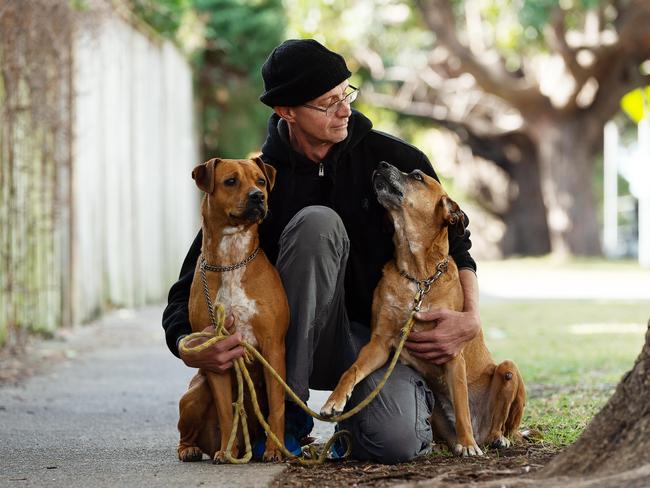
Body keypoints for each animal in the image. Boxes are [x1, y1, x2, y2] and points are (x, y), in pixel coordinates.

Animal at [177, 156, 288, 462]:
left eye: (260, 180)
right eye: (230, 181)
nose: (258, 196)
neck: (231, 258)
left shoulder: (273, 347)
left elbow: (277, 406)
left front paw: (275, 450)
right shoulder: (217, 353)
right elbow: (227, 411)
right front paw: (226, 452)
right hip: (195, 393)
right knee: (186, 433)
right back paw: (192, 449)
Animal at [322, 162, 524, 456]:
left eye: (417, 176)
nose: (382, 164)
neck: (418, 276)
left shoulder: (452, 353)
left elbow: (462, 409)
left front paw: (468, 445)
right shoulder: (379, 344)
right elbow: (352, 369)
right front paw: (335, 400)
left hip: (509, 371)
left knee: (498, 423)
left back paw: (490, 438)